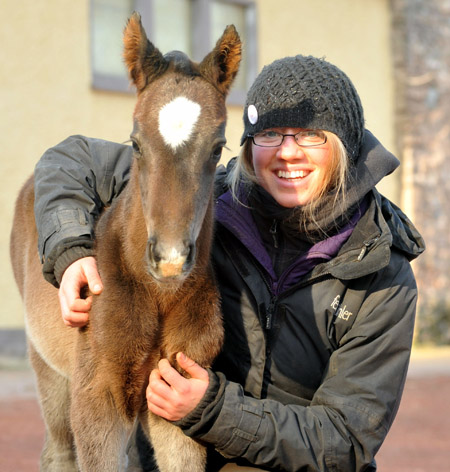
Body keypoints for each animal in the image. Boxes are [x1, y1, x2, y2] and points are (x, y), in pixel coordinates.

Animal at [9, 12, 243, 470]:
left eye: (217, 148)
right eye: (134, 142)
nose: (170, 259)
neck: (156, 294)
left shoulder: (176, 397)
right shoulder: (96, 401)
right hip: (48, 370)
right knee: (57, 451)